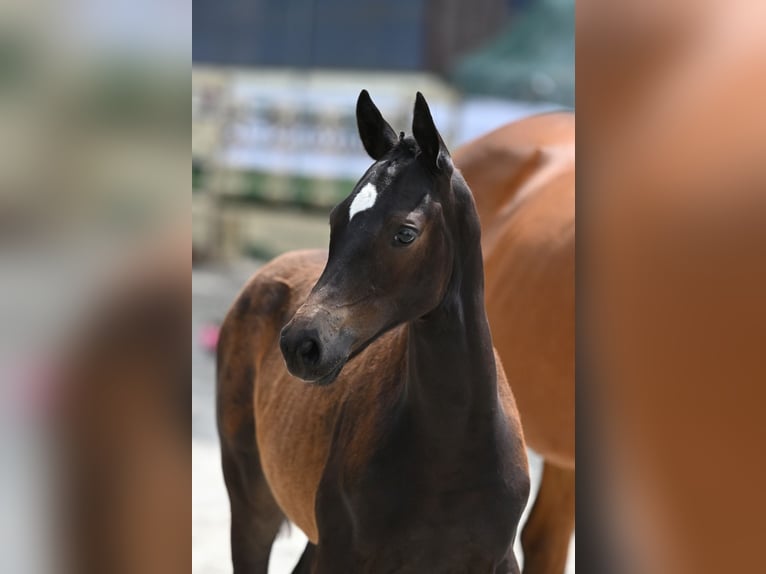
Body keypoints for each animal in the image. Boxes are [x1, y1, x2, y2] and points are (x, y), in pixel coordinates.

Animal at [214, 92, 528, 572]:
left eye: (406, 233)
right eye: (334, 219)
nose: (300, 344)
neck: (453, 449)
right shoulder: (344, 553)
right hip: (252, 502)